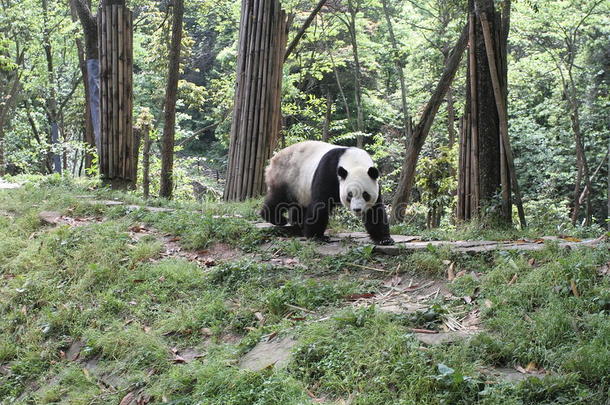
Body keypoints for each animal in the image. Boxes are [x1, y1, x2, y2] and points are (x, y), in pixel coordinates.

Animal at [258, 140, 392, 245]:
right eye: (350, 195)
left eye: (365, 195)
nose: (357, 210)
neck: (354, 161)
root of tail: (273, 158)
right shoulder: (330, 171)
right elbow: (320, 203)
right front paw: (317, 236)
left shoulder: (374, 182)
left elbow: (375, 211)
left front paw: (384, 239)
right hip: (286, 175)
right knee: (279, 198)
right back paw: (276, 218)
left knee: (299, 204)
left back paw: (298, 222)